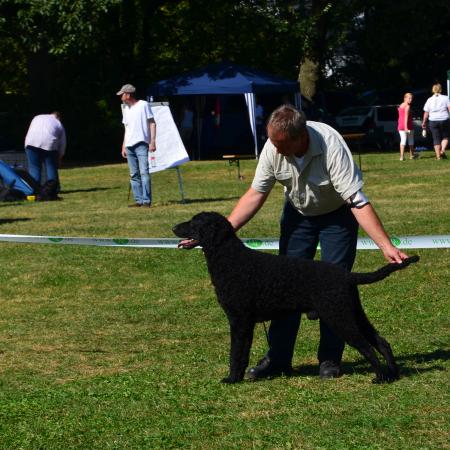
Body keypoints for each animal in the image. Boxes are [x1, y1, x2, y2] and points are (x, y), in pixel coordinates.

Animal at [174, 211, 420, 384]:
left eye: (195, 222)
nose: (174, 226)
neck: (230, 259)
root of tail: (347, 275)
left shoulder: (239, 320)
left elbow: (236, 354)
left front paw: (232, 379)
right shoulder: (244, 322)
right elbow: (242, 354)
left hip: (338, 315)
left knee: (366, 347)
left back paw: (379, 378)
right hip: (353, 312)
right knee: (381, 341)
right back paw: (393, 374)